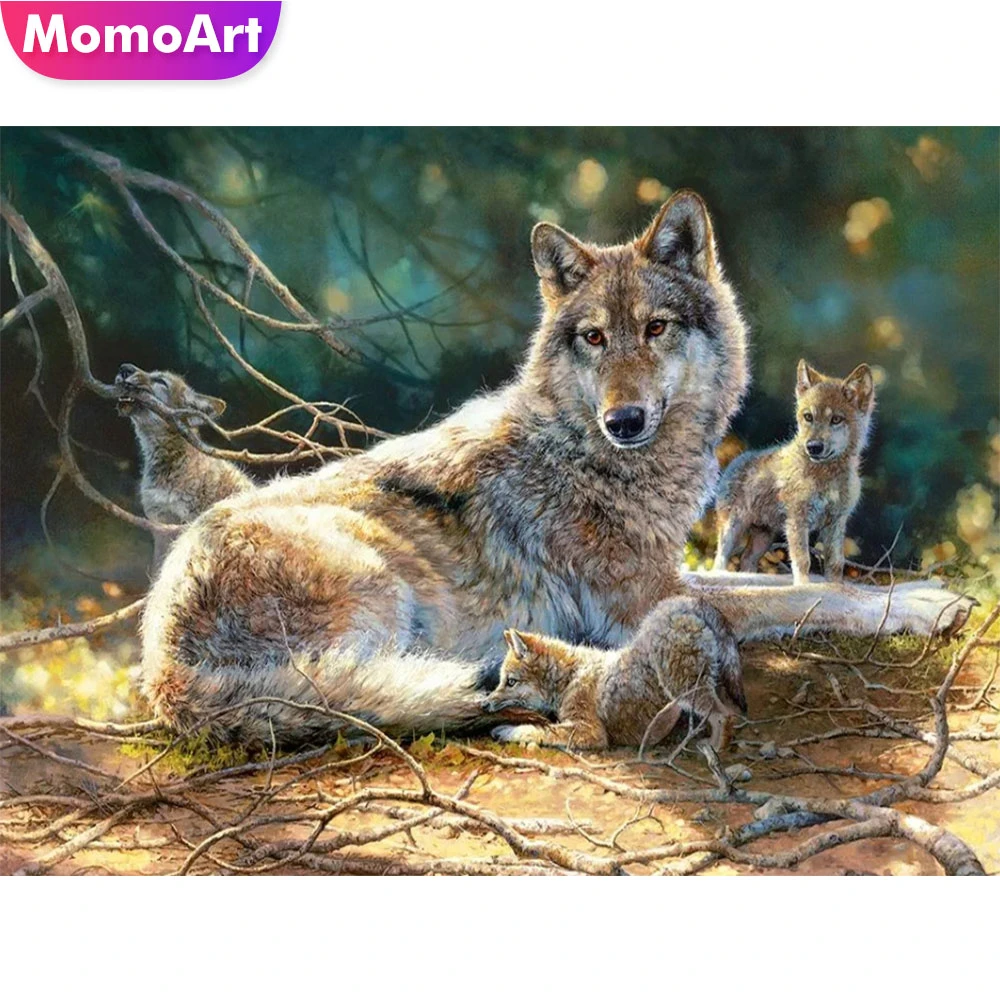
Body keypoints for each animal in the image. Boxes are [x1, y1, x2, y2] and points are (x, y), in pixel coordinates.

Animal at [486, 596, 746, 751]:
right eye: (501, 681)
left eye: (511, 682)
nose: (484, 703)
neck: (570, 675)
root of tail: (686, 604)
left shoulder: (590, 732)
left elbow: (538, 730)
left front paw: (507, 731)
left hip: (684, 688)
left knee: (724, 714)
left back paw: (715, 748)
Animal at [713, 360, 875, 583]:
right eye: (808, 417)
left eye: (836, 419)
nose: (813, 447)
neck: (827, 477)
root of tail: (736, 460)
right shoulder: (797, 521)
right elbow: (802, 561)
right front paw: (803, 587)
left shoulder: (836, 523)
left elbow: (835, 564)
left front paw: (835, 588)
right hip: (733, 528)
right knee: (720, 559)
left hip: (764, 536)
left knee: (746, 559)